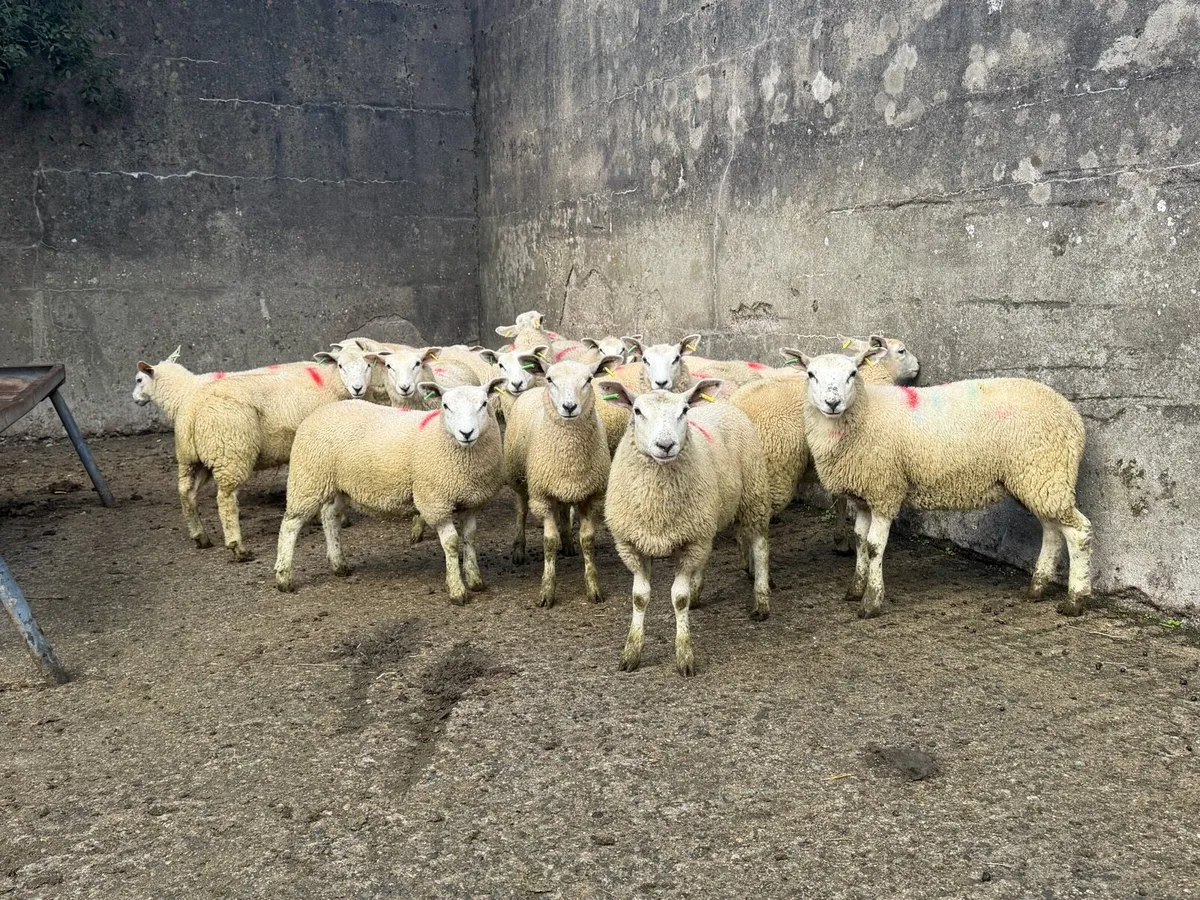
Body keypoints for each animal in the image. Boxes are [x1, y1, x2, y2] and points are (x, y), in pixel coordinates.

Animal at [172, 358, 352, 560]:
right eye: (341, 365)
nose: (357, 388)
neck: (332, 382)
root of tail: (192, 409)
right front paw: (339, 518)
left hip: (191, 458)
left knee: (187, 492)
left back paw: (200, 536)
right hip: (231, 453)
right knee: (226, 499)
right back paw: (238, 547)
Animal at [274, 379, 508, 603]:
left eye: (483, 404)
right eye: (445, 405)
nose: (466, 433)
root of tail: (321, 410)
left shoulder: (472, 501)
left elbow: (470, 537)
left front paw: (475, 579)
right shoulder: (435, 502)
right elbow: (451, 544)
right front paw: (457, 590)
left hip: (340, 485)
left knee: (330, 517)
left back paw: (339, 565)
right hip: (308, 479)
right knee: (290, 525)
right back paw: (284, 577)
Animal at [503, 354, 622, 606]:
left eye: (588, 379)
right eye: (551, 379)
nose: (569, 407)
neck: (570, 453)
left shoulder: (591, 496)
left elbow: (587, 540)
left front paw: (593, 588)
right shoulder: (542, 496)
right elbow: (549, 542)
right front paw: (547, 591)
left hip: (565, 487)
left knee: (565, 508)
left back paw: (567, 543)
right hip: (519, 478)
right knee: (521, 510)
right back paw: (519, 550)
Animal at [598, 378, 772, 676]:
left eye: (684, 411)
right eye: (637, 411)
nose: (666, 445)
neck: (658, 507)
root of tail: (723, 404)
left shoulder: (689, 541)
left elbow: (679, 599)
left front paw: (685, 657)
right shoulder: (634, 545)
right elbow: (639, 598)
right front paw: (631, 653)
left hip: (753, 494)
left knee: (760, 547)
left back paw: (761, 602)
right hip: (705, 520)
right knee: (707, 554)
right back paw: (698, 591)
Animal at [793, 346, 1092, 619]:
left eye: (853, 373)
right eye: (811, 375)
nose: (833, 403)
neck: (864, 413)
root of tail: (1072, 413)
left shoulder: (885, 490)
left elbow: (874, 546)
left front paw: (871, 602)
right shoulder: (864, 495)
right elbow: (860, 541)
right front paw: (855, 589)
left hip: (1045, 472)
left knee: (1078, 532)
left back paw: (1075, 601)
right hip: (1038, 480)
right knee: (1052, 531)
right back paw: (1037, 589)